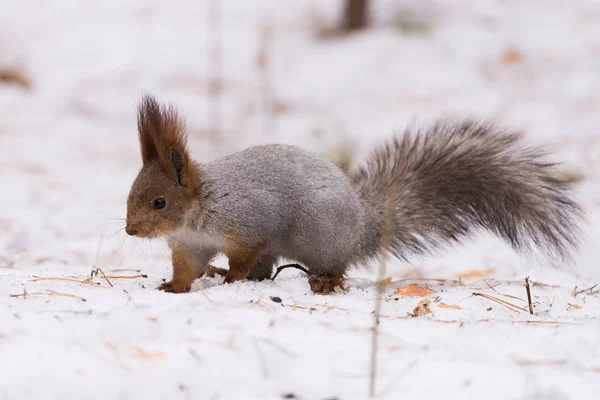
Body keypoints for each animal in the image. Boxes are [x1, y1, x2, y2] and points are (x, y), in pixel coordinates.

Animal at [125, 94, 580, 294]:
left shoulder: (249, 220)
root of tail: (361, 226)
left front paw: (232, 276)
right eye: (130, 194)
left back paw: (323, 280)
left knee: (333, 267)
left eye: (160, 201)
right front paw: (174, 286)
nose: (131, 232)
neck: (199, 210)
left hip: (319, 235)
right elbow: (188, 269)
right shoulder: (190, 245)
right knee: (267, 270)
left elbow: (246, 252)